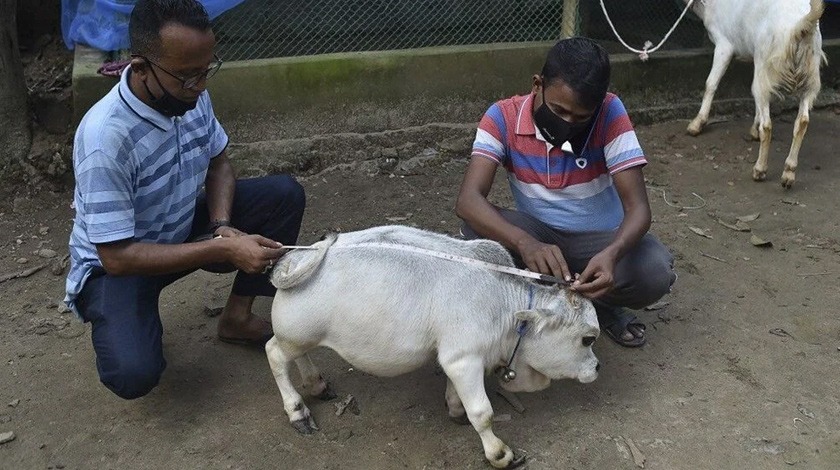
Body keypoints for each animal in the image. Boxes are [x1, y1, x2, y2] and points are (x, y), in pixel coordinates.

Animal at [266, 226, 600, 468]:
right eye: (588, 339)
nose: (597, 367)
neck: (504, 305)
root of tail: (296, 258)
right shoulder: (464, 359)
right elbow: (483, 413)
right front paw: (499, 454)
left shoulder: (457, 358)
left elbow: (456, 393)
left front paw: (455, 409)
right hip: (296, 334)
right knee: (274, 354)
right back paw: (297, 411)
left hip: (300, 337)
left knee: (298, 356)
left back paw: (317, 384)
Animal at [688, 0, 828, 187]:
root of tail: (800, 27)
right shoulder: (756, 59)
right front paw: (754, 128)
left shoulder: (725, 44)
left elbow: (711, 83)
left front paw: (696, 124)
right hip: (809, 75)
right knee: (802, 121)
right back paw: (788, 173)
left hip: (771, 60)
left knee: (767, 125)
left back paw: (760, 169)